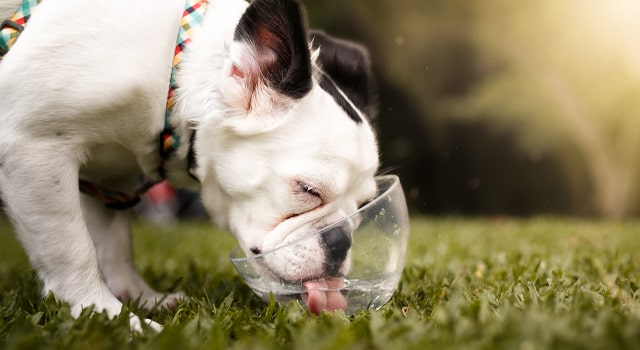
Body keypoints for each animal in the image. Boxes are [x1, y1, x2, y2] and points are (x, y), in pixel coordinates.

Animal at [0, 0, 380, 328]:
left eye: (363, 206)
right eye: (308, 190)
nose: (341, 241)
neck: (174, 76)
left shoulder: (110, 177)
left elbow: (114, 242)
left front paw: (136, 297)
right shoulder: (34, 147)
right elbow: (73, 251)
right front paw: (107, 314)